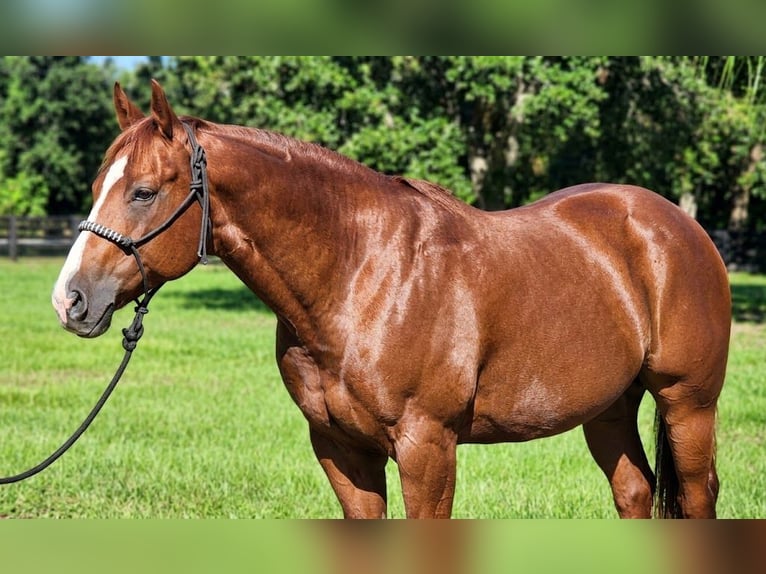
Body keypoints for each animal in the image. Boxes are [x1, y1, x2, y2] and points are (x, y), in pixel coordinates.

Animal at [52, 80, 731, 518]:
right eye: (97, 183)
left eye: (143, 192)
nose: (71, 300)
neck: (362, 278)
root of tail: (676, 223)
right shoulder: (341, 451)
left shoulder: (428, 448)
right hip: (610, 407)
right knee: (634, 493)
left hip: (688, 404)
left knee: (699, 495)